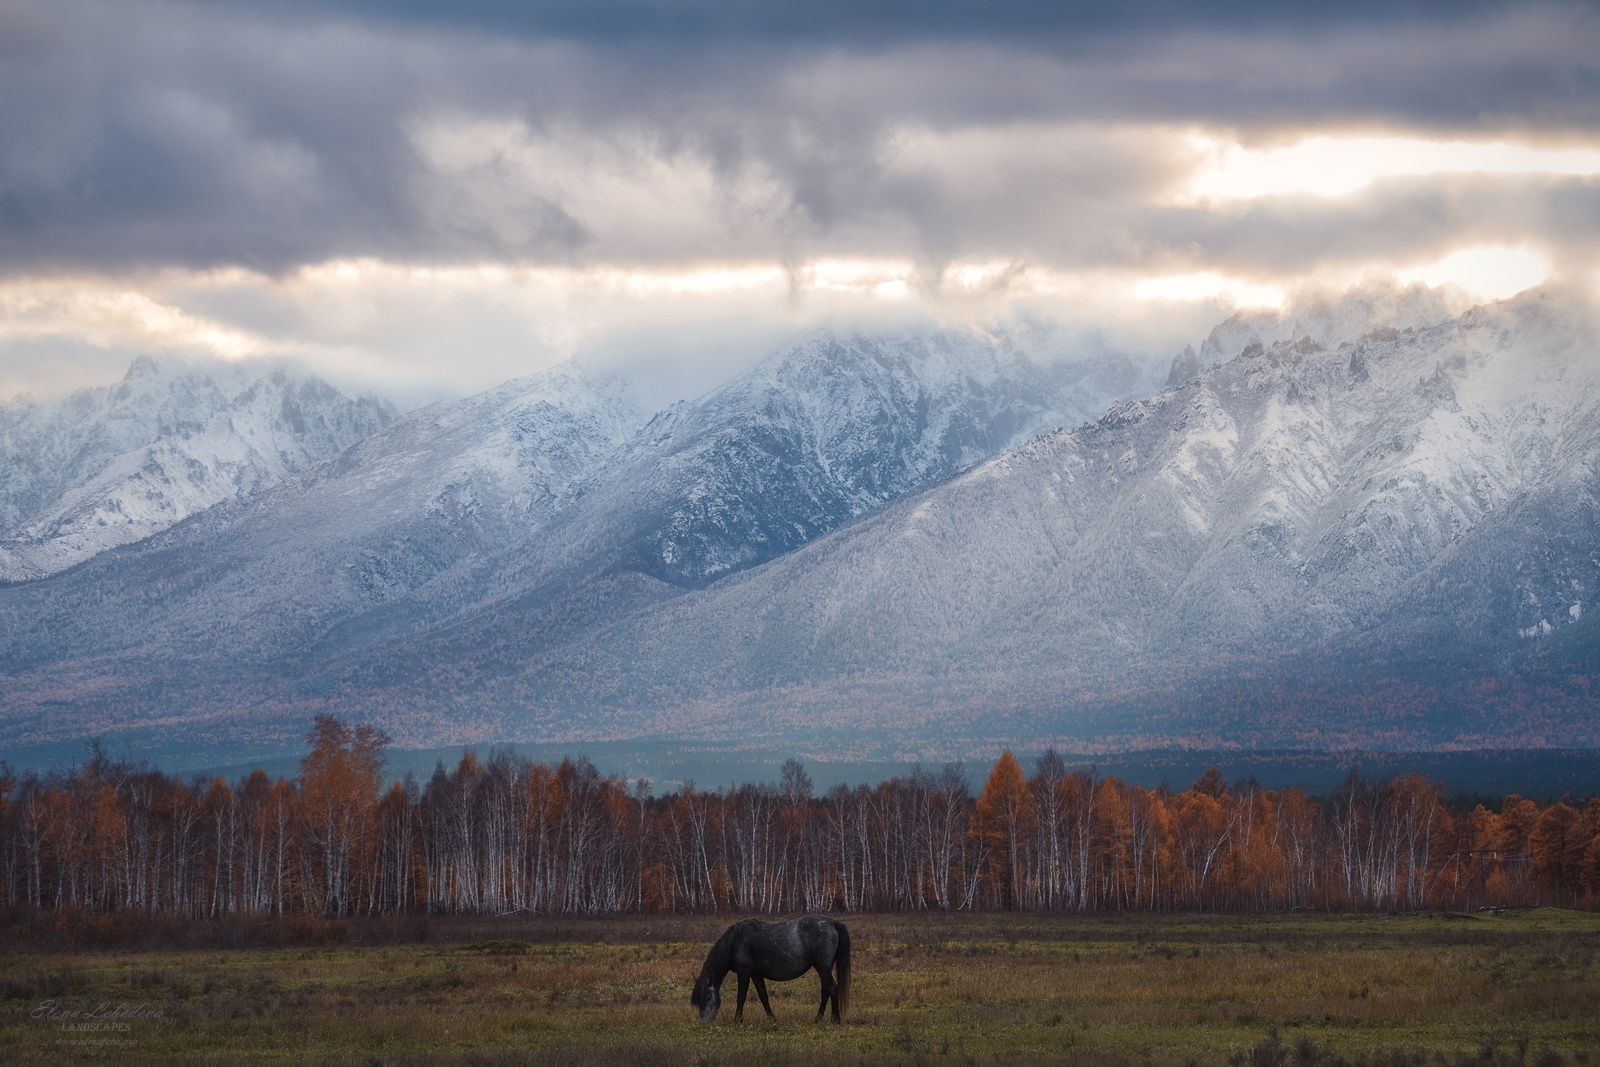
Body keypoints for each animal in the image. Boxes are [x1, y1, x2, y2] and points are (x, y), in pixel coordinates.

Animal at [694, 915, 857, 1023]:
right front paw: (772, 1019)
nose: (704, 1022)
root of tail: (833, 922)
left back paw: (835, 1020)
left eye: (708, 997)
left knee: (832, 989)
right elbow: (763, 996)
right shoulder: (755, 974)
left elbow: (741, 997)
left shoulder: (744, 973)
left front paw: (737, 1020)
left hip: (823, 967)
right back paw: (818, 1019)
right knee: (825, 991)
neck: (736, 942)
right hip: (824, 969)